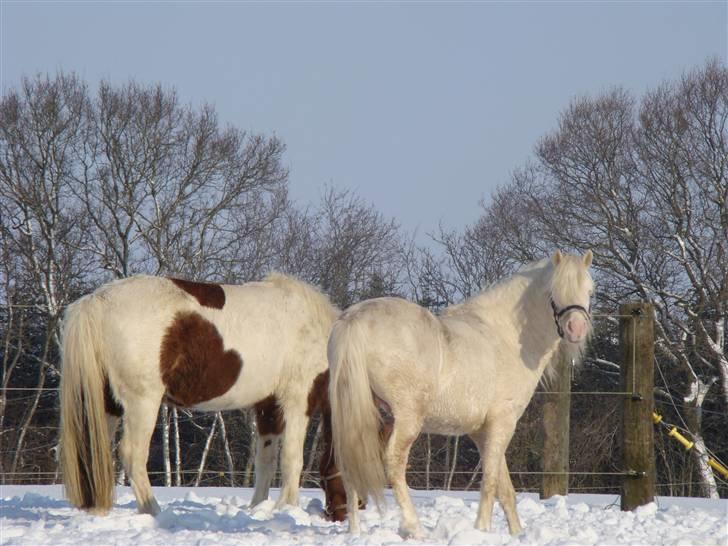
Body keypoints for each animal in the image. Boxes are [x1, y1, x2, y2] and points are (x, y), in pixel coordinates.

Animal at [59, 273, 345, 518]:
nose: (339, 516)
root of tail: (96, 301)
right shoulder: (298, 399)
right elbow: (292, 459)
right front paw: (286, 507)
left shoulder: (269, 406)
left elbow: (266, 461)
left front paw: (257, 508)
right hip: (142, 402)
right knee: (131, 453)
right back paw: (153, 510)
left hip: (107, 405)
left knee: (93, 452)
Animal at [329, 250, 594, 537]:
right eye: (553, 292)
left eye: (589, 290)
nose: (576, 329)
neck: (504, 336)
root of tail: (355, 319)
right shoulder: (503, 423)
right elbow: (490, 482)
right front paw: (482, 529)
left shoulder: (482, 431)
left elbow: (505, 489)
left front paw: (516, 534)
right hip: (407, 419)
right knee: (394, 463)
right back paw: (414, 527)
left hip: (356, 414)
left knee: (349, 463)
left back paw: (355, 531)